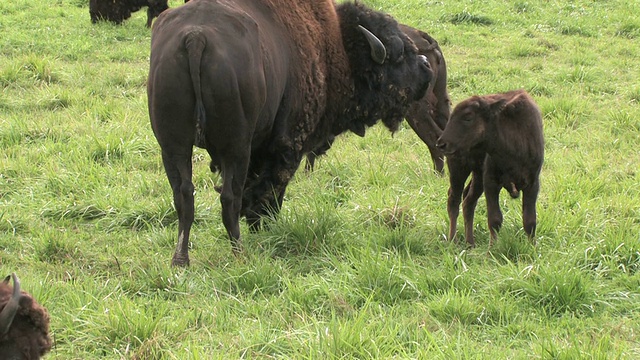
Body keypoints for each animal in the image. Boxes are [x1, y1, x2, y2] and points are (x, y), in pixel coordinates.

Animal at [148, 0, 432, 264]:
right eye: (398, 54)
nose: (426, 66)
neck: (335, 46)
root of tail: (196, 37)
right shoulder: (286, 146)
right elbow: (271, 190)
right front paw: (264, 226)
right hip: (235, 149)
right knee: (230, 197)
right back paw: (240, 253)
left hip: (173, 147)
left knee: (184, 195)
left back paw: (180, 261)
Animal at [436, 89, 544, 248]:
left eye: (468, 117)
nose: (441, 144)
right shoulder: (491, 183)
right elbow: (495, 219)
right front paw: (492, 249)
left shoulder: (532, 184)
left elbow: (529, 221)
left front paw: (533, 247)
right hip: (459, 169)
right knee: (454, 200)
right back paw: (453, 240)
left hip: (476, 176)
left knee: (468, 201)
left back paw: (470, 243)